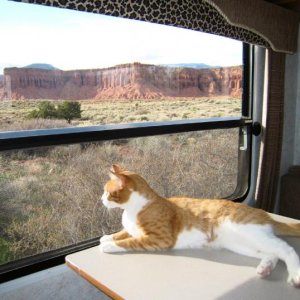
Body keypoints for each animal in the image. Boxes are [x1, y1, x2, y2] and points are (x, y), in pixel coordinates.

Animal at [99, 165, 300, 288]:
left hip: (250, 233)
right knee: (273, 253)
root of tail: (264, 214)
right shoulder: (132, 230)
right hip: (241, 244)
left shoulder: (160, 238)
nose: (101, 199)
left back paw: (295, 275)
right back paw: (265, 268)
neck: (132, 210)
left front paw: (108, 245)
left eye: (107, 192)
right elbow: (122, 233)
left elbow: (129, 241)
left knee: (286, 248)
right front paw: (107, 237)